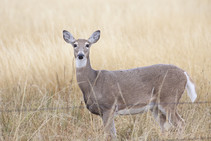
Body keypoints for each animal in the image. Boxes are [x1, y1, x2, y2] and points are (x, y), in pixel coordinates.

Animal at [61, 29, 197, 139]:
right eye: (75, 45)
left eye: (87, 45)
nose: (80, 55)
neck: (93, 82)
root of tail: (184, 73)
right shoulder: (105, 112)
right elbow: (113, 134)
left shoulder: (109, 106)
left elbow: (108, 134)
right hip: (156, 106)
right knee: (165, 126)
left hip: (169, 98)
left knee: (181, 123)